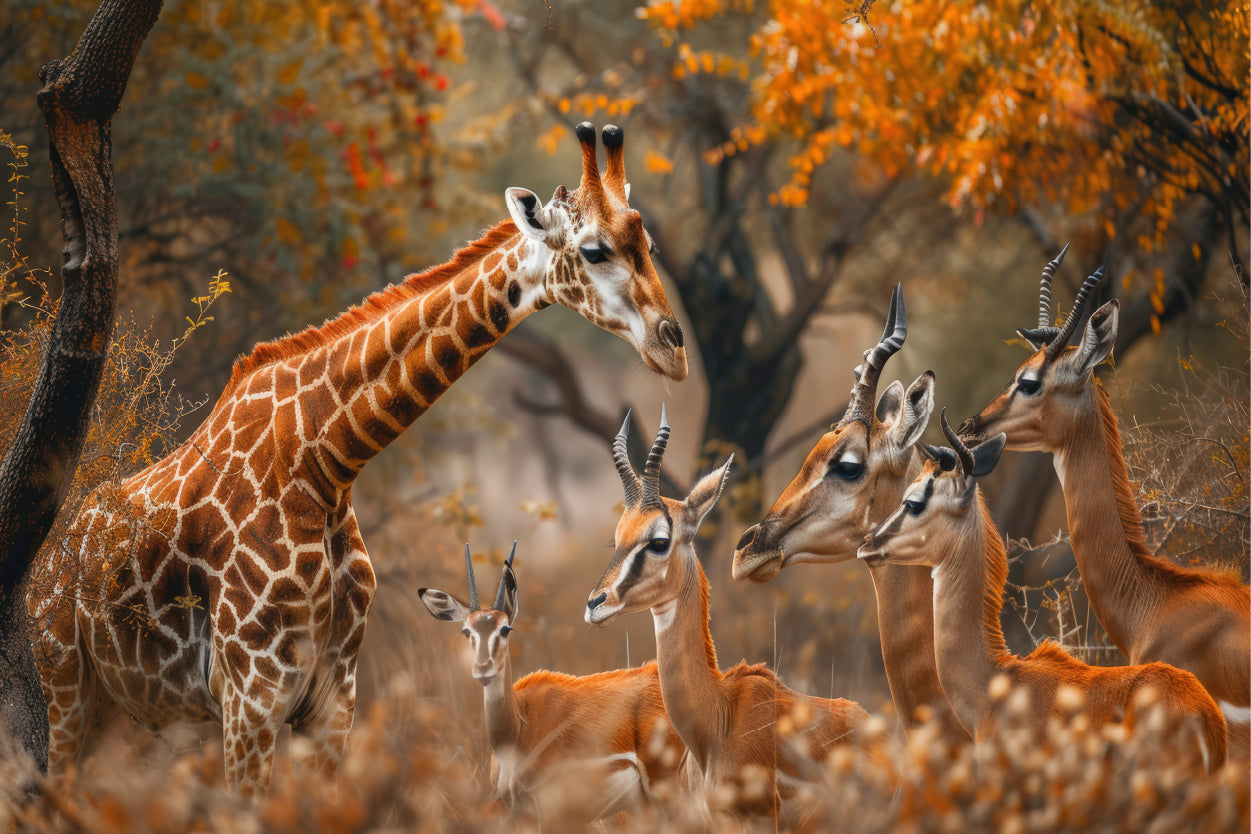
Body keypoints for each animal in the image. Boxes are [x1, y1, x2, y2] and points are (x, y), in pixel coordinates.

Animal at [28, 123, 687, 793]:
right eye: (594, 250)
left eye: (648, 242)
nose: (674, 347)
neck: (326, 463)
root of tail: (48, 558)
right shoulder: (250, 695)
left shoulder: (332, 698)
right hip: (67, 688)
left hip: (132, 714)